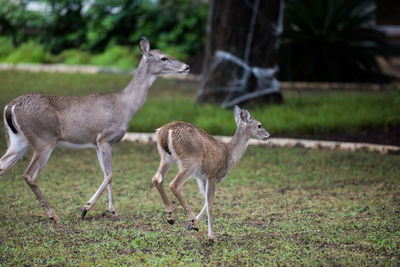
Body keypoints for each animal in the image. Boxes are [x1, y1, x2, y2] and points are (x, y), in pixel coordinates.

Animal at [0, 37, 191, 222]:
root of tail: (11, 106)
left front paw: (113, 210)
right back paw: (53, 215)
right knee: (30, 175)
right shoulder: (105, 138)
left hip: (18, 140)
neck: (125, 105)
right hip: (44, 139)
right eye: (163, 58)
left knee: (3, 166)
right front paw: (86, 208)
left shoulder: (98, 144)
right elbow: (110, 174)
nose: (187, 66)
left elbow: (107, 174)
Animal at [152, 105, 270, 242]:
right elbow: (210, 203)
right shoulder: (213, 175)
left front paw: (192, 225)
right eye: (259, 125)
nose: (268, 135)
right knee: (174, 184)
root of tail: (166, 131)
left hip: (166, 157)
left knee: (156, 178)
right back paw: (189, 217)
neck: (229, 154)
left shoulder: (202, 178)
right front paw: (211, 236)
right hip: (191, 160)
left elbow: (206, 201)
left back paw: (171, 217)